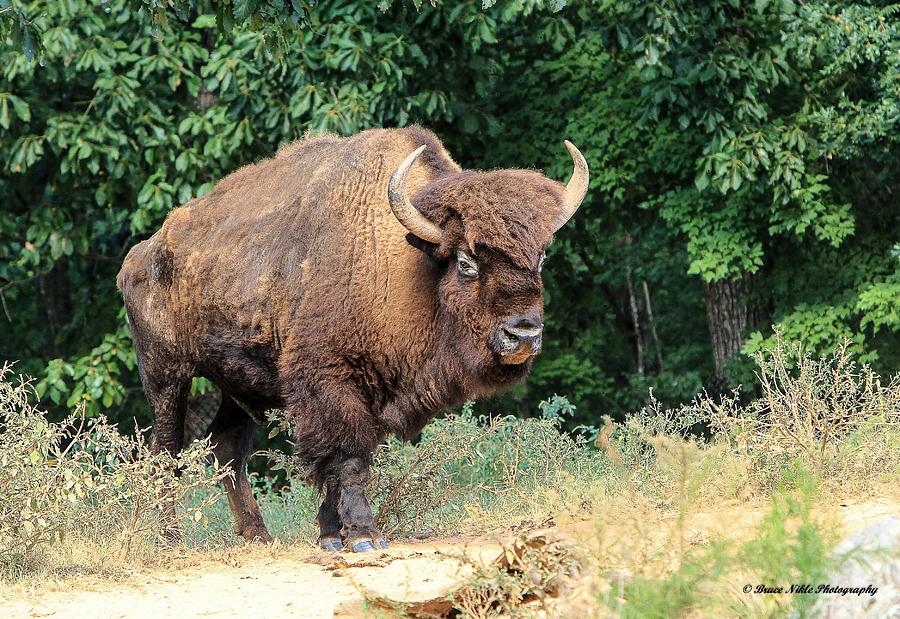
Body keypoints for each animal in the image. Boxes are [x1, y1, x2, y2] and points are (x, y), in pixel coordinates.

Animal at [116, 126, 588, 552]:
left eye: (540, 258)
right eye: (466, 262)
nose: (522, 334)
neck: (407, 264)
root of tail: (142, 254)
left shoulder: (363, 392)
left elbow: (336, 464)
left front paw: (330, 535)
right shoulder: (330, 383)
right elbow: (349, 459)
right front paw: (363, 536)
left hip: (240, 384)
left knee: (228, 447)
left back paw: (257, 535)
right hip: (167, 376)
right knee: (165, 452)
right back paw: (170, 540)